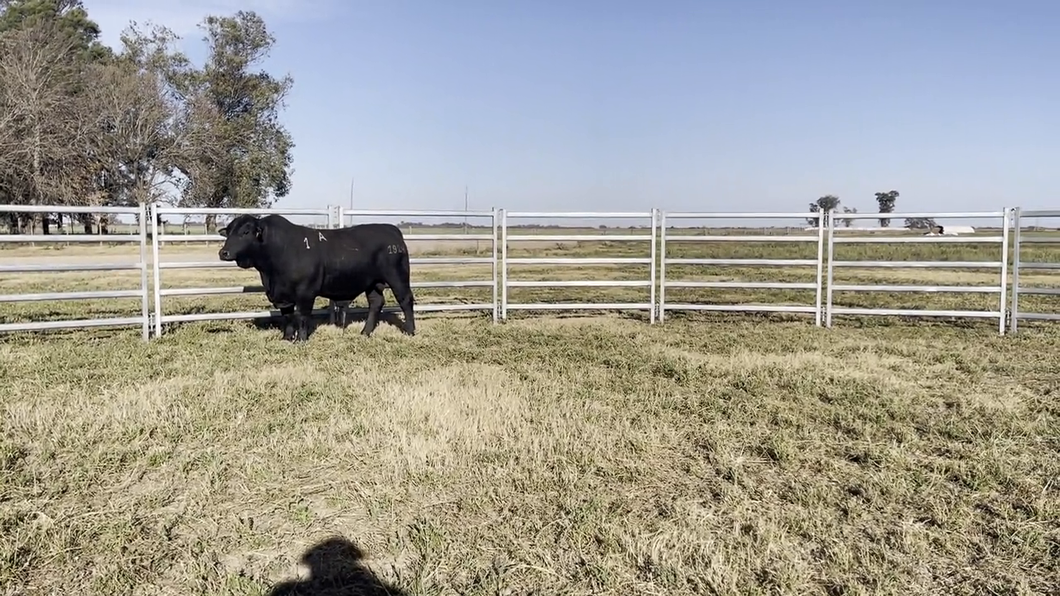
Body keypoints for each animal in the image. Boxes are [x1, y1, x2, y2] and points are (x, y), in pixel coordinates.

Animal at [215, 214, 413, 343]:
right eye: (229, 232)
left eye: (246, 232)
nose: (224, 252)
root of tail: (391, 229)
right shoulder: (283, 296)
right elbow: (287, 316)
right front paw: (287, 338)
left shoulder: (305, 292)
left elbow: (302, 316)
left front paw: (301, 340)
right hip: (372, 283)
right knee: (376, 303)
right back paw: (365, 332)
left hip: (398, 277)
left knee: (406, 300)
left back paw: (410, 331)